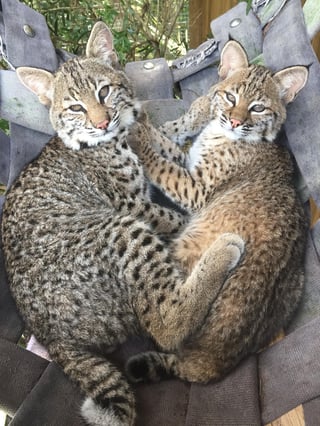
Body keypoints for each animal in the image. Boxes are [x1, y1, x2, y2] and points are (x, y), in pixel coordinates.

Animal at [1, 24, 244, 426]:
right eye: (75, 108)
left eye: (104, 91)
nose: (102, 122)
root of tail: (50, 336)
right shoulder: (134, 205)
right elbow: (176, 214)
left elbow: (170, 138)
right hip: (117, 228)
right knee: (166, 324)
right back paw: (221, 250)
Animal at [125, 41, 308, 384]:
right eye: (231, 97)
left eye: (258, 109)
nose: (234, 122)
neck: (223, 134)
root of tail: (212, 361)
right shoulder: (188, 159)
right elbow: (167, 145)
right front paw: (142, 127)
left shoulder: (195, 189)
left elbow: (161, 165)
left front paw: (136, 138)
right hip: (297, 282)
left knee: (165, 322)